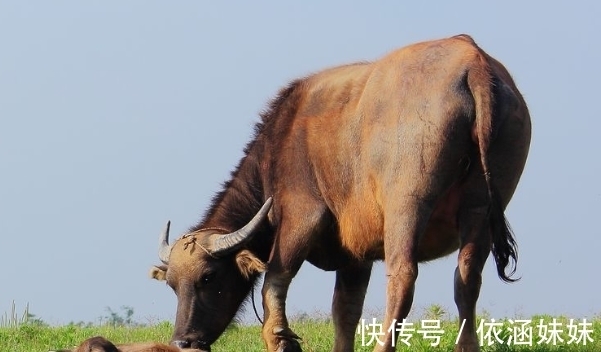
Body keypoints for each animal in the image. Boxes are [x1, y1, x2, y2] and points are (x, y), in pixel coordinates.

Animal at [149, 33, 528, 352]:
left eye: (208, 277)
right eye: (172, 285)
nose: (183, 341)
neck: (278, 144)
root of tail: (473, 62)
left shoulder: (301, 216)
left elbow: (275, 281)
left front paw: (281, 338)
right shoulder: (355, 256)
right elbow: (345, 310)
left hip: (407, 206)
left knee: (403, 276)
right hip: (481, 207)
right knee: (467, 279)